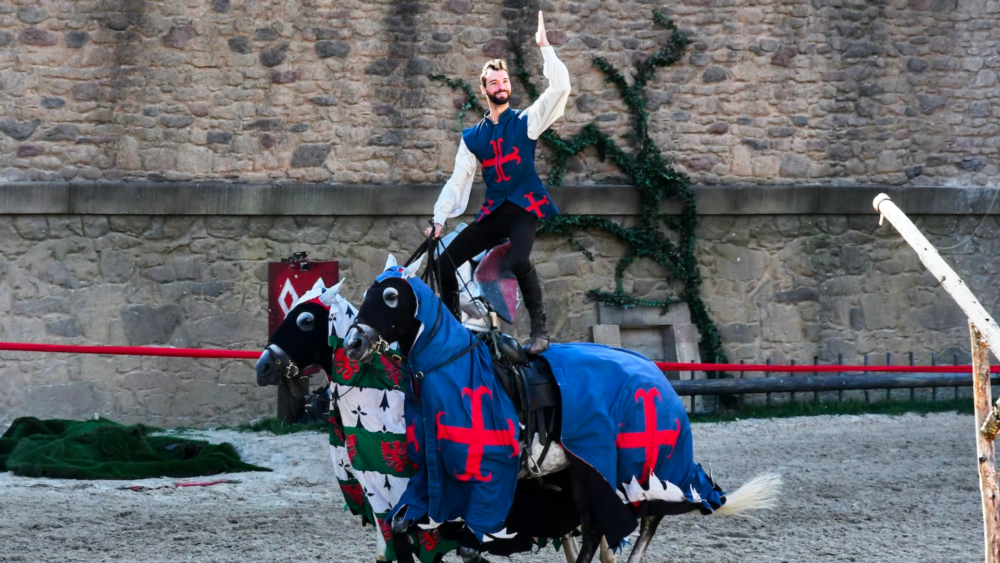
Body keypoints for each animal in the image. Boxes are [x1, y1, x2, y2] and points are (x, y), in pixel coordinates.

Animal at [344, 256, 780, 563]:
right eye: (367, 295)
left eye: (390, 297)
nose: (354, 344)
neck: (450, 368)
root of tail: (655, 373)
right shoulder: (431, 484)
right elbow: (401, 527)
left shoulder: (490, 481)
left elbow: (468, 547)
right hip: (584, 474)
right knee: (594, 531)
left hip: (642, 468)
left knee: (648, 518)